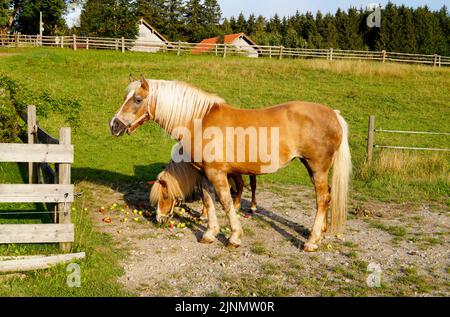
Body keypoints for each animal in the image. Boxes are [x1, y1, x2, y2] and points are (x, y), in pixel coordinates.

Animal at [110, 76, 352, 252]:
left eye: (138, 99)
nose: (114, 125)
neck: (199, 121)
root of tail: (334, 114)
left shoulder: (218, 173)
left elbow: (226, 203)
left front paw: (234, 237)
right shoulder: (204, 174)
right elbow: (208, 202)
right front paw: (209, 234)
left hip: (316, 168)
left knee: (322, 199)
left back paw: (311, 241)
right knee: (328, 196)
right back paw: (320, 232)